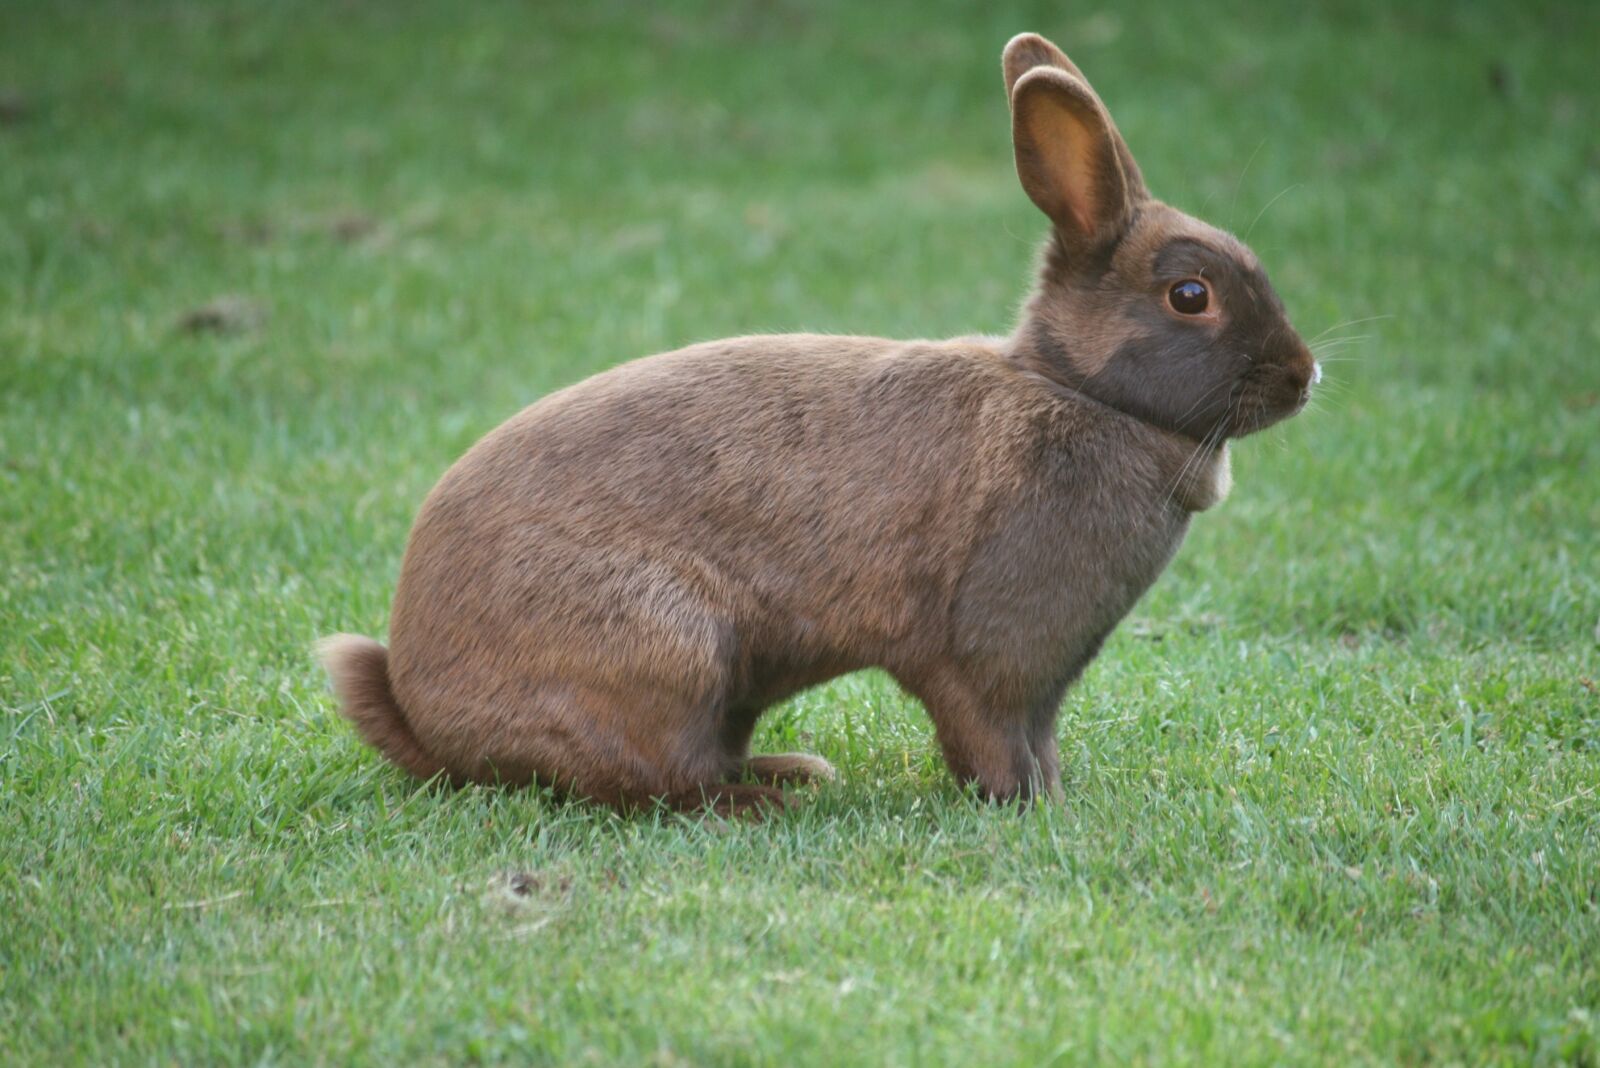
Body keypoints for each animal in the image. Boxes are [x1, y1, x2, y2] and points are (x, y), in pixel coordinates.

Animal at [319, 32, 1317, 816]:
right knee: (653, 783)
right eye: (1189, 295)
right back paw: (771, 800)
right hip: (673, 653)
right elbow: (990, 734)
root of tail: (423, 714)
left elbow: (1038, 739)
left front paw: (1056, 798)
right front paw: (1033, 809)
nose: (1304, 378)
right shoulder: (988, 656)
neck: (1079, 392)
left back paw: (790, 773)